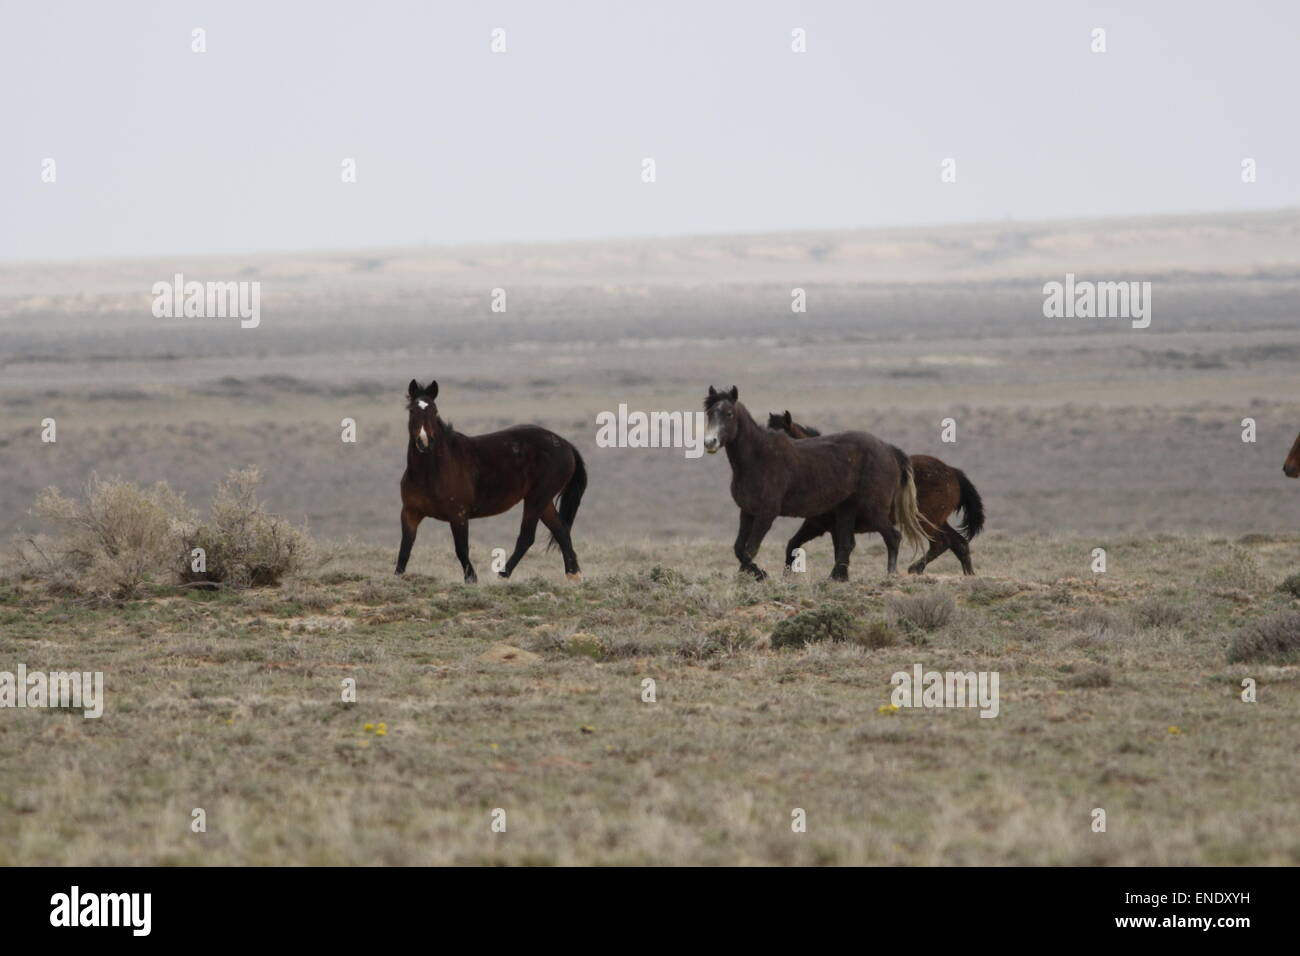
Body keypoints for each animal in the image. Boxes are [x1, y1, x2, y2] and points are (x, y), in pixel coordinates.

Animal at [390, 382, 585, 582]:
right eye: (412, 410)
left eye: (435, 411)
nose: (424, 442)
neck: (431, 473)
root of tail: (566, 444)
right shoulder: (410, 513)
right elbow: (405, 549)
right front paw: (397, 577)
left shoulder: (458, 515)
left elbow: (461, 549)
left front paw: (471, 579)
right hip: (542, 501)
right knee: (561, 531)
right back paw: (573, 575)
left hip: (537, 499)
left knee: (527, 537)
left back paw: (503, 575)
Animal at [702, 382, 925, 580]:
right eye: (709, 413)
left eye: (728, 414)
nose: (710, 442)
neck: (758, 457)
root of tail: (889, 450)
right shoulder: (748, 511)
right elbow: (740, 549)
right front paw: (756, 574)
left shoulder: (767, 513)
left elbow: (750, 549)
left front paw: (759, 575)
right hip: (847, 508)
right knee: (847, 544)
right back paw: (835, 578)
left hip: (874, 509)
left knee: (893, 537)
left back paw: (891, 574)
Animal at [769, 411, 982, 574]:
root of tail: (952, 472)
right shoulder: (818, 525)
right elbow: (794, 545)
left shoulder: (825, 525)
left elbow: (837, 548)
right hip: (938, 520)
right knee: (959, 543)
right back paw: (968, 576)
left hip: (927, 520)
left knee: (942, 542)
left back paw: (914, 568)